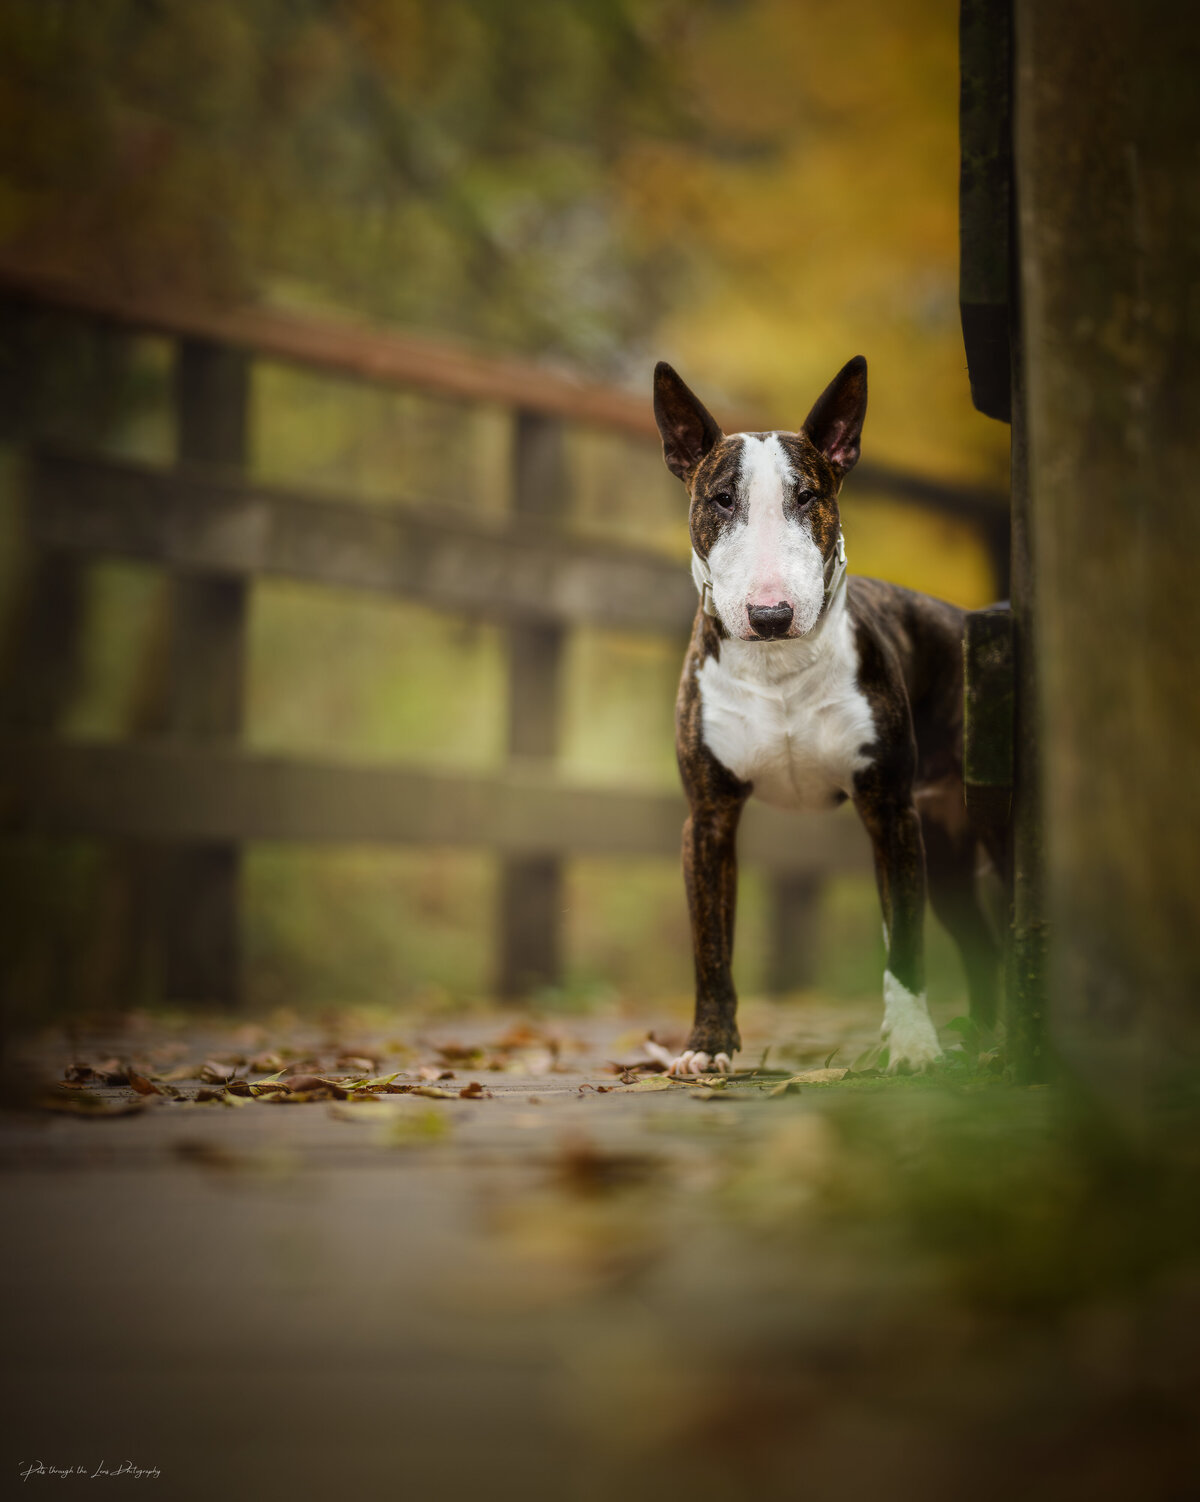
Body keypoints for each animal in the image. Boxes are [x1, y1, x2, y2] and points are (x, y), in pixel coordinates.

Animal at [651, 357, 997, 1075]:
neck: (779, 669)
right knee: (981, 940)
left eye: (807, 496)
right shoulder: (708, 817)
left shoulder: (890, 810)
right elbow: (710, 945)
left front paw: (913, 1046)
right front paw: (708, 1045)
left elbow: (905, 944)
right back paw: (983, 1034)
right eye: (721, 499)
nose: (770, 614)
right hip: (948, 843)